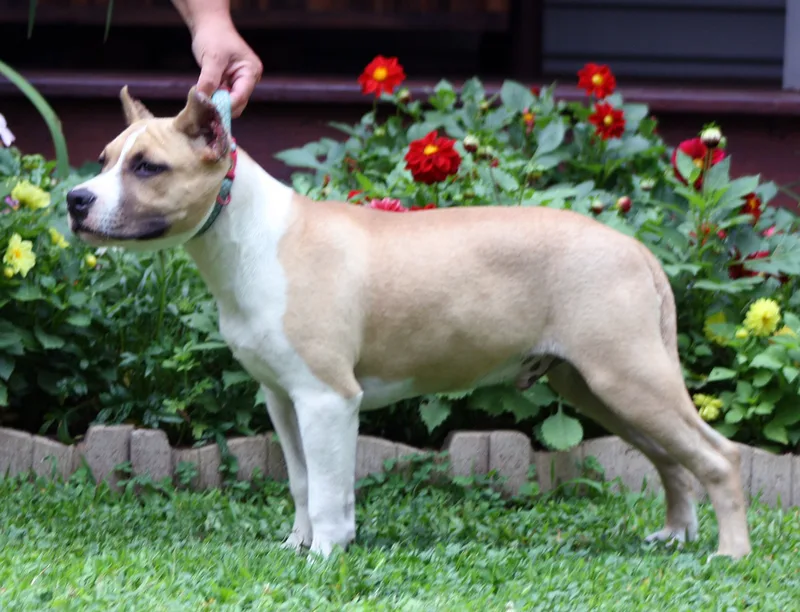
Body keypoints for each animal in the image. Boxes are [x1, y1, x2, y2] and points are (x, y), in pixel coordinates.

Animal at [65, 86, 752, 560]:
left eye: (148, 167)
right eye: (104, 159)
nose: (76, 199)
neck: (248, 235)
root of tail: (636, 249)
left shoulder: (327, 399)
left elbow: (330, 487)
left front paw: (325, 555)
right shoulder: (283, 399)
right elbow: (302, 482)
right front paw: (298, 545)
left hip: (629, 378)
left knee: (718, 456)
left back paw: (730, 552)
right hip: (598, 388)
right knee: (672, 461)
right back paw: (675, 534)